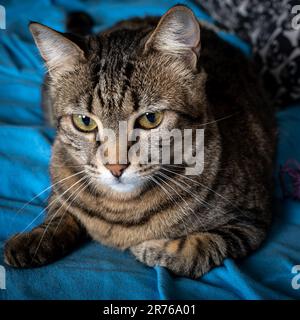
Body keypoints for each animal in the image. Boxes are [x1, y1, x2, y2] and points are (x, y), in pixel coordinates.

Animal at [4, 6, 276, 278]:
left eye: (150, 118)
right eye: (85, 121)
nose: (115, 167)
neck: (120, 209)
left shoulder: (250, 221)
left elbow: (199, 248)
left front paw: (149, 248)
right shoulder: (61, 177)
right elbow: (61, 211)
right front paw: (35, 239)